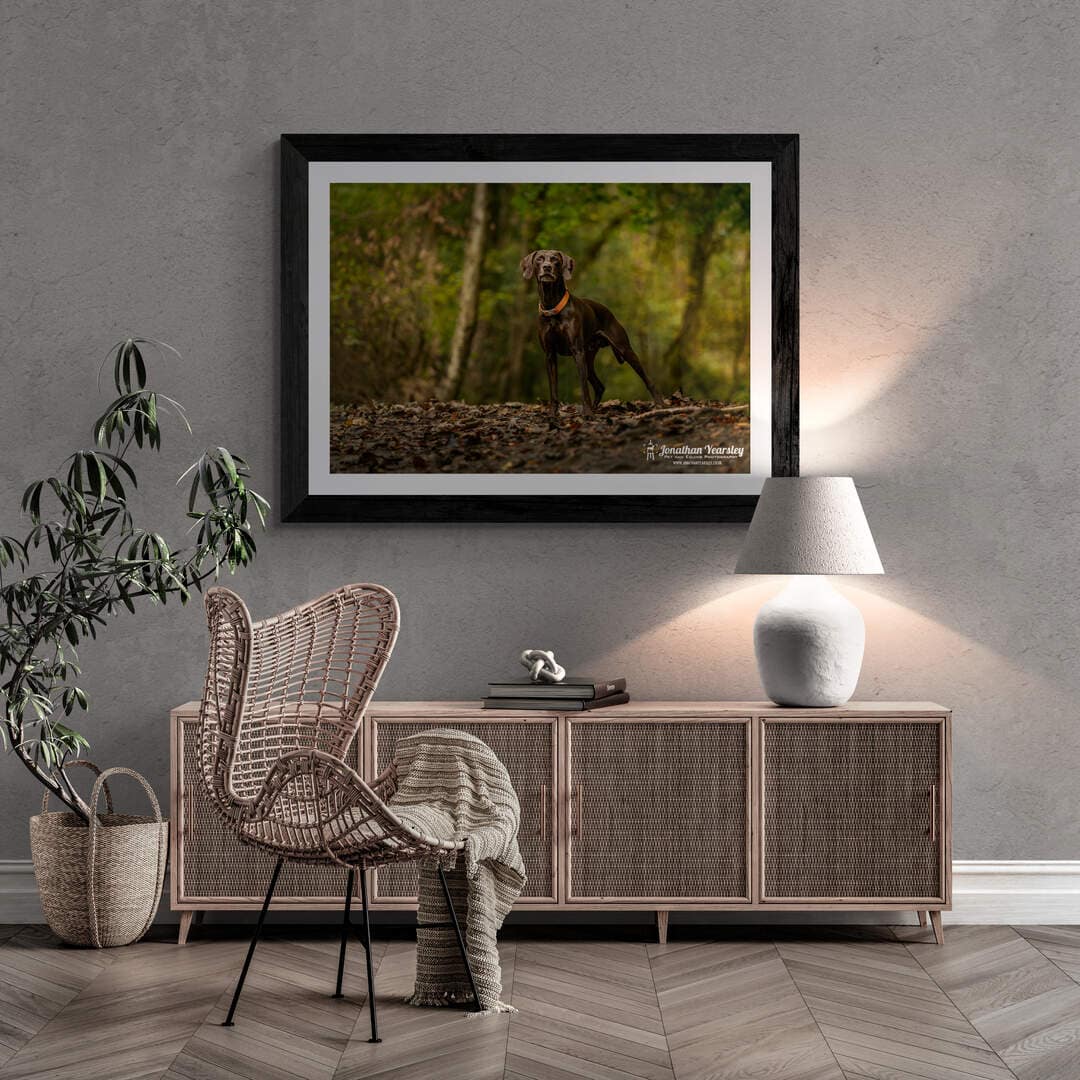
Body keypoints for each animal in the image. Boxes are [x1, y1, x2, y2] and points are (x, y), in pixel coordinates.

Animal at [518, 250, 660, 414]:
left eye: (555, 260)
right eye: (539, 259)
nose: (547, 267)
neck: (552, 306)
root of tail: (608, 311)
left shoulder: (577, 352)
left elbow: (583, 387)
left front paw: (586, 413)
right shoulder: (550, 355)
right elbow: (553, 389)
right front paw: (553, 414)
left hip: (624, 350)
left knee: (647, 379)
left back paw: (660, 403)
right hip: (589, 358)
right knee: (599, 386)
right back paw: (594, 408)